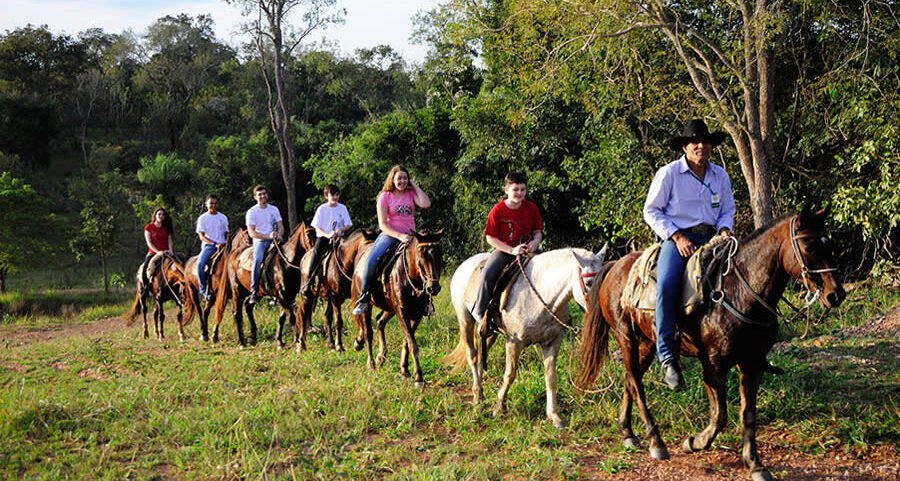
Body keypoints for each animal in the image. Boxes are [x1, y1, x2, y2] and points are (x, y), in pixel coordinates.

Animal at [356, 229, 446, 386]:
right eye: (421, 254)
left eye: (439, 254)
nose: (433, 288)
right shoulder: (402, 312)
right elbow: (412, 343)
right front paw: (418, 377)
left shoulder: (416, 314)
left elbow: (407, 341)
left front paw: (404, 370)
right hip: (369, 306)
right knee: (368, 332)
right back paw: (371, 363)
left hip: (390, 308)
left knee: (380, 321)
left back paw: (380, 356)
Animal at [446, 248, 608, 428]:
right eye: (589, 283)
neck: (542, 295)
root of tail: (464, 265)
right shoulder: (514, 342)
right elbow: (510, 375)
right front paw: (499, 407)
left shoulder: (552, 342)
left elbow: (551, 378)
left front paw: (554, 416)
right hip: (465, 320)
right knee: (473, 356)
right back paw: (476, 396)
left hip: (489, 332)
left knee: (482, 355)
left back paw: (480, 394)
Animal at [576, 206, 844, 480]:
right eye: (809, 246)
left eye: (830, 245)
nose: (836, 295)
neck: (741, 293)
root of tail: (615, 266)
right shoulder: (713, 364)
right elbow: (720, 416)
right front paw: (693, 443)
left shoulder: (753, 364)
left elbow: (748, 415)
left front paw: (755, 464)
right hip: (626, 337)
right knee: (637, 385)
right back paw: (656, 442)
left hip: (647, 343)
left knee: (630, 379)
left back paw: (628, 433)